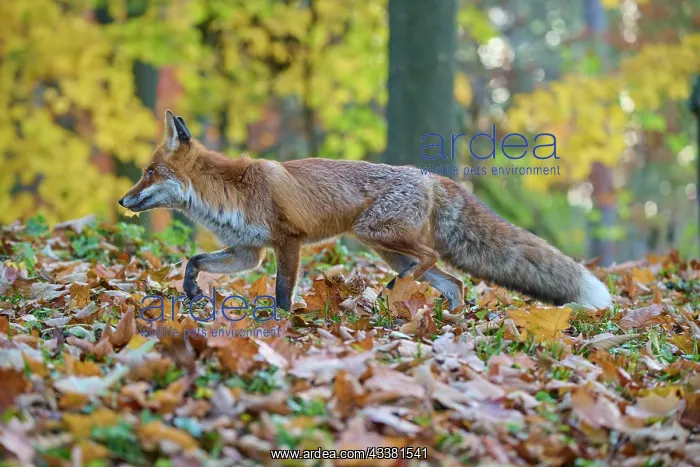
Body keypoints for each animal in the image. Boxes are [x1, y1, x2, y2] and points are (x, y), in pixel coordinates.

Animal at [119, 110, 612, 313]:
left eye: (148, 172)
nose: (122, 201)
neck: (226, 193)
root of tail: (429, 176)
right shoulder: (248, 253)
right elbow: (193, 260)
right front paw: (191, 292)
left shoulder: (287, 241)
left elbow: (282, 292)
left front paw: (281, 323)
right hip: (387, 248)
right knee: (452, 282)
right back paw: (447, 319)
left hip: (376, 236)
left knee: (431, 259)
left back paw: (398, 290)